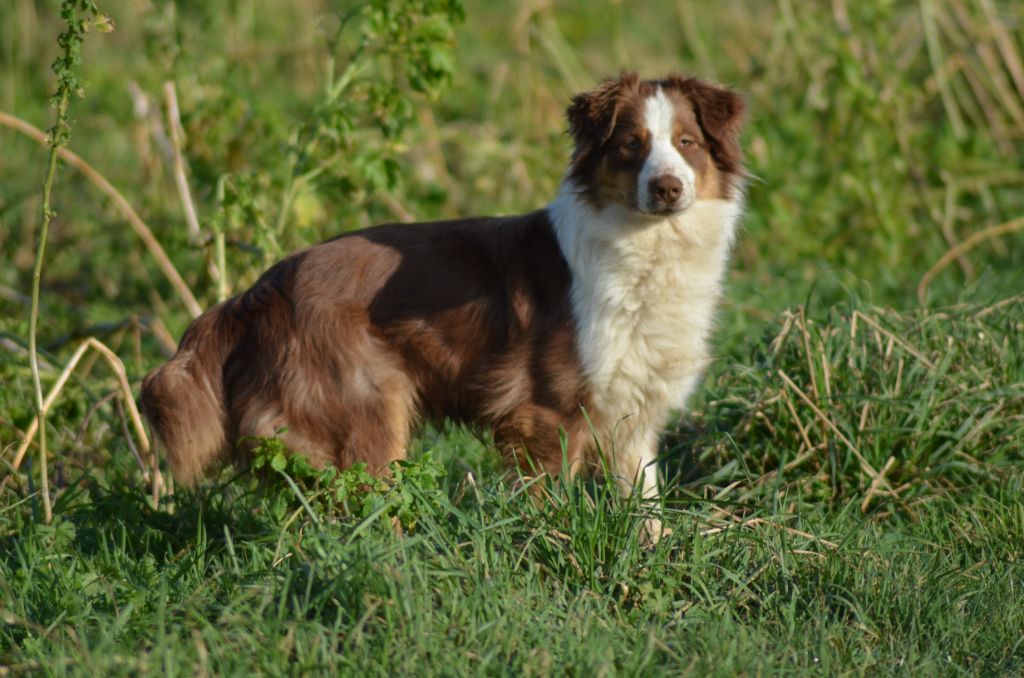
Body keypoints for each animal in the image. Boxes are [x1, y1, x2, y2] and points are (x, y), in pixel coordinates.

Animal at [140, 73, 745, 540]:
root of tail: (260, 289)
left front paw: (652, 554)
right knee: (364, 504)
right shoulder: (543, 411)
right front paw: (548, 547)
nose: (666, 188)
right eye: (631, 146)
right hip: (365, 407)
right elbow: (551, 499)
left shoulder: (632, 405)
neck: (647, 246)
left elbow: (644, 500)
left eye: (687, 142)